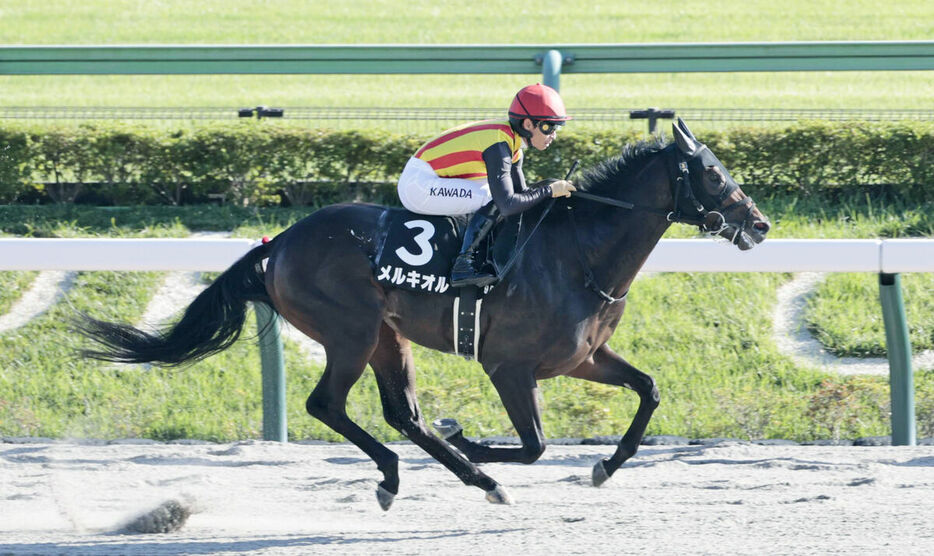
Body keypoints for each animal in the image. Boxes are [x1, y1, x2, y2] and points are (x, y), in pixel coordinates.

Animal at [77, 120, 772, 508]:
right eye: (713, 176)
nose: (761, 225)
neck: (580, 255)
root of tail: (279, 243)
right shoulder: (508, 367)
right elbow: (534, 446)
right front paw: (473, 440)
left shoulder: (584, 357)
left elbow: (648, 391)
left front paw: (603, 467)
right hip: (350, 333)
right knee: (327, 405)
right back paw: (440, 475)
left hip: (389, 337)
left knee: (401, 414)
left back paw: (434, 477)